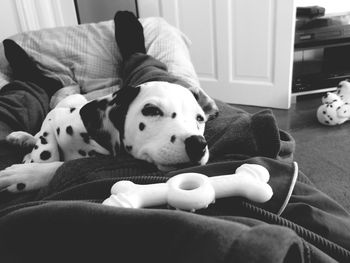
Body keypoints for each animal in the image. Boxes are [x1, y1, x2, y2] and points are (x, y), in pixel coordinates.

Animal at [0, 11, 211, 193]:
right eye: (152, 110)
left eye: (200, 119)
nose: (198, 143)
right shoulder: (55, 117)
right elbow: (47, 146)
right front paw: (34, 159)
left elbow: (57, 164)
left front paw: (29, 174)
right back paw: (22, 137)